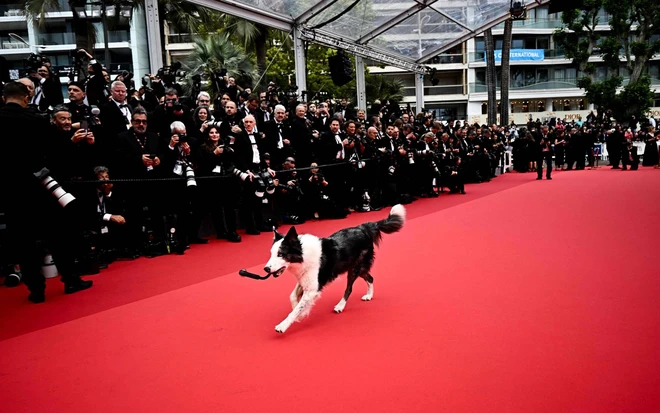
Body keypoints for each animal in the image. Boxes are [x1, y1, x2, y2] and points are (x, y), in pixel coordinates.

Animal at [266, 204, 404, 334]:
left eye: (281, 254)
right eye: (271, 254)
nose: (266, 269)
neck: (303, 255)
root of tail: (364, 228)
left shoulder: (313, 288)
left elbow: (296, 309)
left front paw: (284, 325)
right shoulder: (305, 279)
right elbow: (293, 297)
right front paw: (302, 314)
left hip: (355, 268)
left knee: (349, 289)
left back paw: (340, 306)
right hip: (358, 268)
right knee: (370, 278)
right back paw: (369, 295)